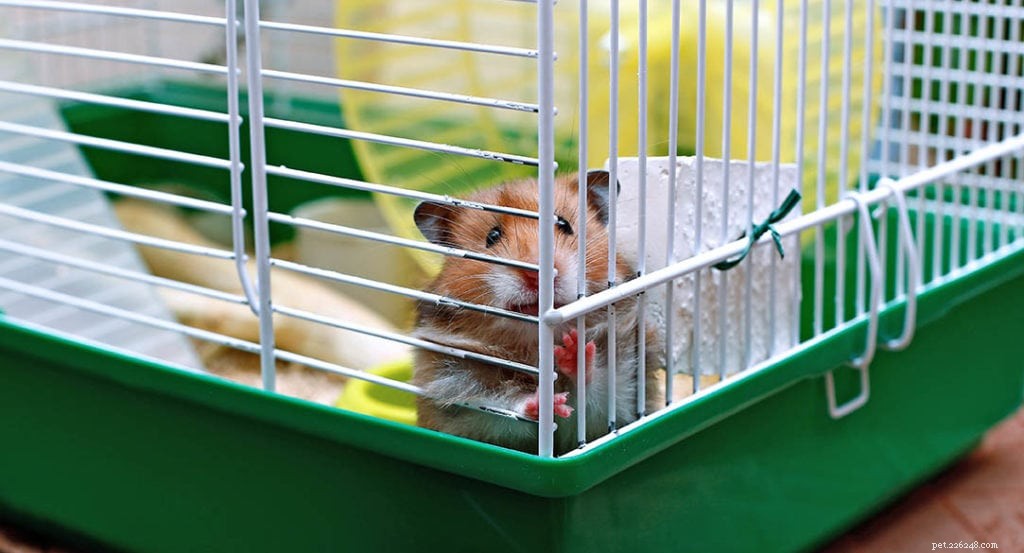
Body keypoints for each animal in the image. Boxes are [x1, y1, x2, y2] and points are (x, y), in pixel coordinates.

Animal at [411, 170, 664, 454]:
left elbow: (595, 390)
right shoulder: (455, 388)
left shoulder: (625, 383)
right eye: (492, 236)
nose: (535, 275)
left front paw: (573, 349)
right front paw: (544, 403)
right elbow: (500, 407)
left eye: (564, 224)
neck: (534, 344)